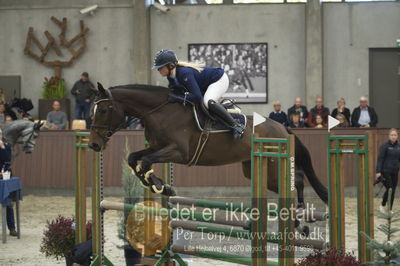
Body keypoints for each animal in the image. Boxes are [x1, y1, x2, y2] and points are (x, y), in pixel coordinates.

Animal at [89, 82, 326, 207]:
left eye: (103, 110)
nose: (93, 145)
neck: (160, 112)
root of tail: (282, 127)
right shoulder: (157, 147)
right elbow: (134, 158)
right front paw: (157, 184)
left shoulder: (179, 152)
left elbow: (146, 161)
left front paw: (160, 185)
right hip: (254, 169)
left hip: (274, 162)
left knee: (298, 178)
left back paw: (301, 212)